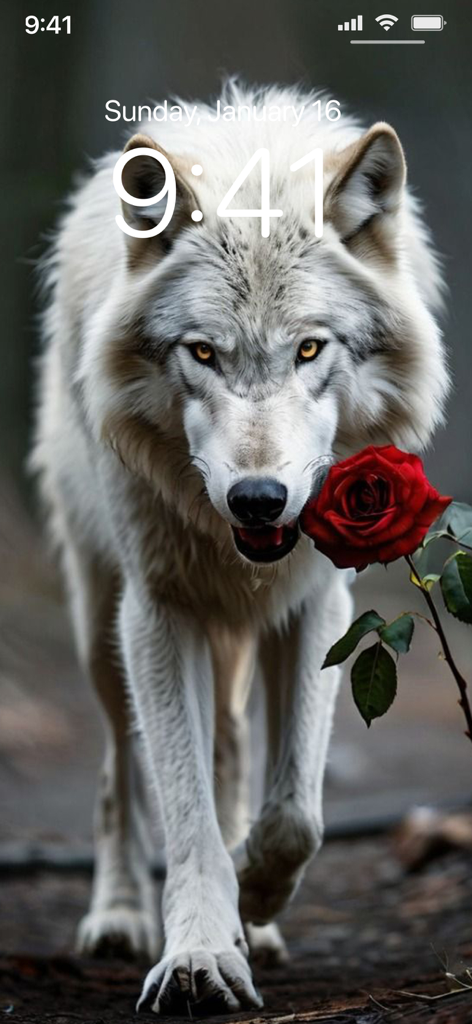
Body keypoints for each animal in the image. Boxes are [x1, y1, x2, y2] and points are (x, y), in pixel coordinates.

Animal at [31, 81, 448, 1013]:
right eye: (203, 352)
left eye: (309, 347)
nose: (258, 498)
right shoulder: (157, 613)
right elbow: (182, 813)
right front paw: (196, 954)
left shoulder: (319, 604)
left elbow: (296, 813)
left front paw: (254, 895)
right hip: (99, 624)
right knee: (117, 774)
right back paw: (119, 913)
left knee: (229, 750)